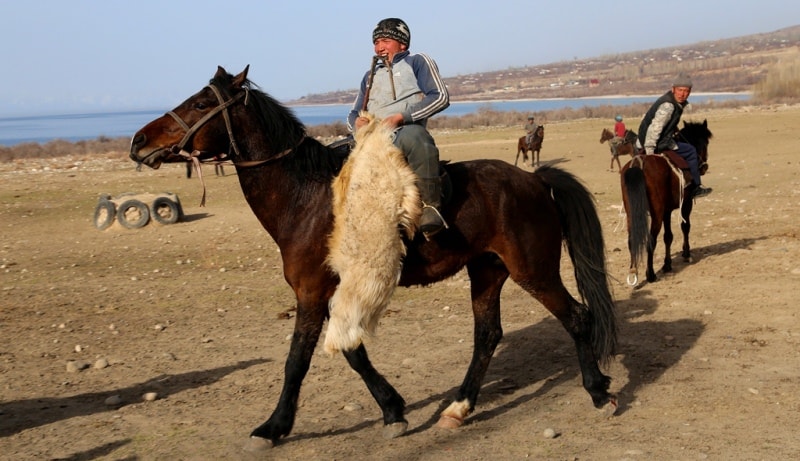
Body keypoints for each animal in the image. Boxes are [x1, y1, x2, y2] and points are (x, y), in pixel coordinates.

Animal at [130, 65, 620, 450]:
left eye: (199, 104)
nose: (138, 140)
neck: (306, 198)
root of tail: (535, 180)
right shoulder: (337, 292)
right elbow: (352, 351)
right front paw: (393, 410)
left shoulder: (311, 291)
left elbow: (297, 360)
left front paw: (273, 427)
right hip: (487, 270)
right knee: (487, 336)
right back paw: (458, 408)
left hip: (533, 270)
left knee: (577, 317)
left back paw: (599, 392)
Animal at [620, 118, 712, 284]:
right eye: (705, 142)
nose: (704, 166)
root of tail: (637, 164)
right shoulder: (686, 203)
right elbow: (685, 226)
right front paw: (686, 254)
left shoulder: (667, 211)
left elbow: (668, 236)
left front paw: (667, 264)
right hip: (656, 213)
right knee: (651, 240)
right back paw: (650, 274)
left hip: (632, 213)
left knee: (632, 240)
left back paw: (633, 273)